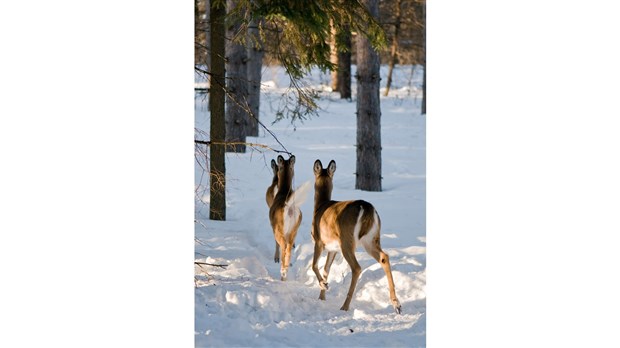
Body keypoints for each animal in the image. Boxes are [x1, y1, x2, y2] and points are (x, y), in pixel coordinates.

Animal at [310, 159, 402, 314]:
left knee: (357, 267)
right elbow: (326, 269)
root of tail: (367, 208)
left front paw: (324, 285)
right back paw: (397, 305)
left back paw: (345, 306)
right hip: (371, 239)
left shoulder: (318, 241)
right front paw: (322, 296)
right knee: (384, 257)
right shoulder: (332, 248)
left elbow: (314, 265)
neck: (320, 207)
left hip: (347, 240)